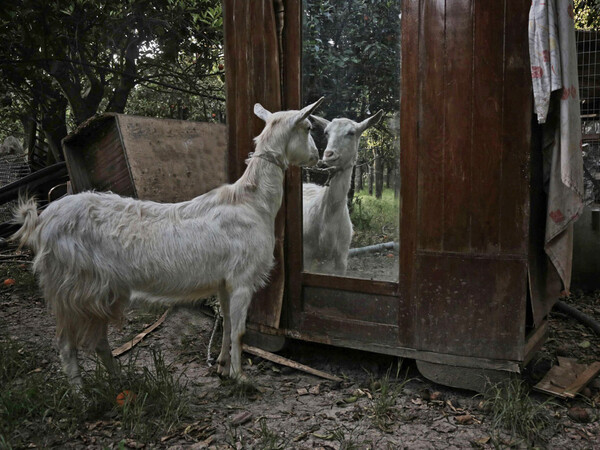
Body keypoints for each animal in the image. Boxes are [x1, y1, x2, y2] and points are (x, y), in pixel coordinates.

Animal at [12, 97, 324, 384]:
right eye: (308, 127)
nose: (317, 156)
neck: (252, 202)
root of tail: (41, 221)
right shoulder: (242, 279)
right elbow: (239, 331)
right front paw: (240, 377)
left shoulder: (224, 281)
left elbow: (226, 325)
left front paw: (222, 366)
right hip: (70, 288)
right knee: (66, 344)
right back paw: (82, 395)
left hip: (97, 291)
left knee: (98, 340)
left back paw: (120, 381)